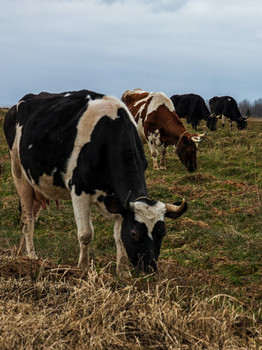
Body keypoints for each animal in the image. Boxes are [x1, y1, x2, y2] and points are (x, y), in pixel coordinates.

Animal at [3, 89, 187, 274]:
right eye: (134, 233)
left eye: (162, 233)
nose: (150, 269)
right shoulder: (79, 191)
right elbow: (86, 234)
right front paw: (83, 268)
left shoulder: (119, 202)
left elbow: (118, 237)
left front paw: (122, 272)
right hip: (19, 175)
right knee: (27, 219)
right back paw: (32, 257)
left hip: (38, 186)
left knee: (28, 218)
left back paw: (21, 255)